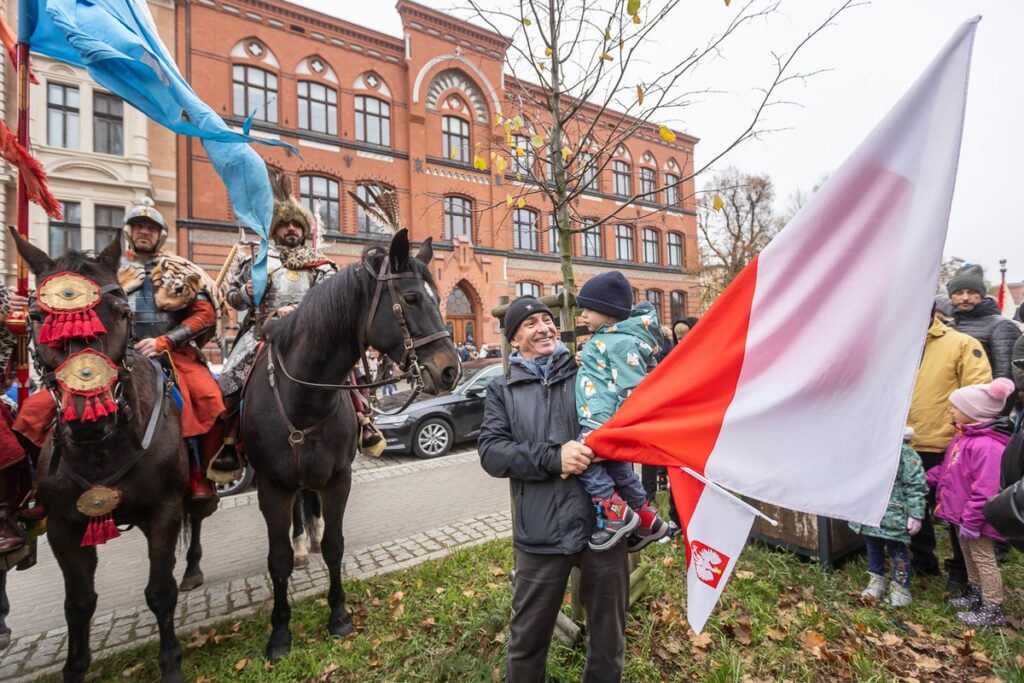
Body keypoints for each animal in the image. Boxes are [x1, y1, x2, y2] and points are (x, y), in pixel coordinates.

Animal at [14, 232, 195, 679]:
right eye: (37, 317)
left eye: (122, 313)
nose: (87, 421)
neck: (102, 451)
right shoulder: (62, 526)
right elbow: (79, 604)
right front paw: (75, 667)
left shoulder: (163, 510)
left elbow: (160, 591)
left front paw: (171, 664)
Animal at [243, 231, 456, 663]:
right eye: (412, 298)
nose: (450, 369)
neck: (304, 400)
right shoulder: (271, 488)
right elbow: (278, 561)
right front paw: (280, 633)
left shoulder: (338, 480)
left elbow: (335, 547)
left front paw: (338, 615)